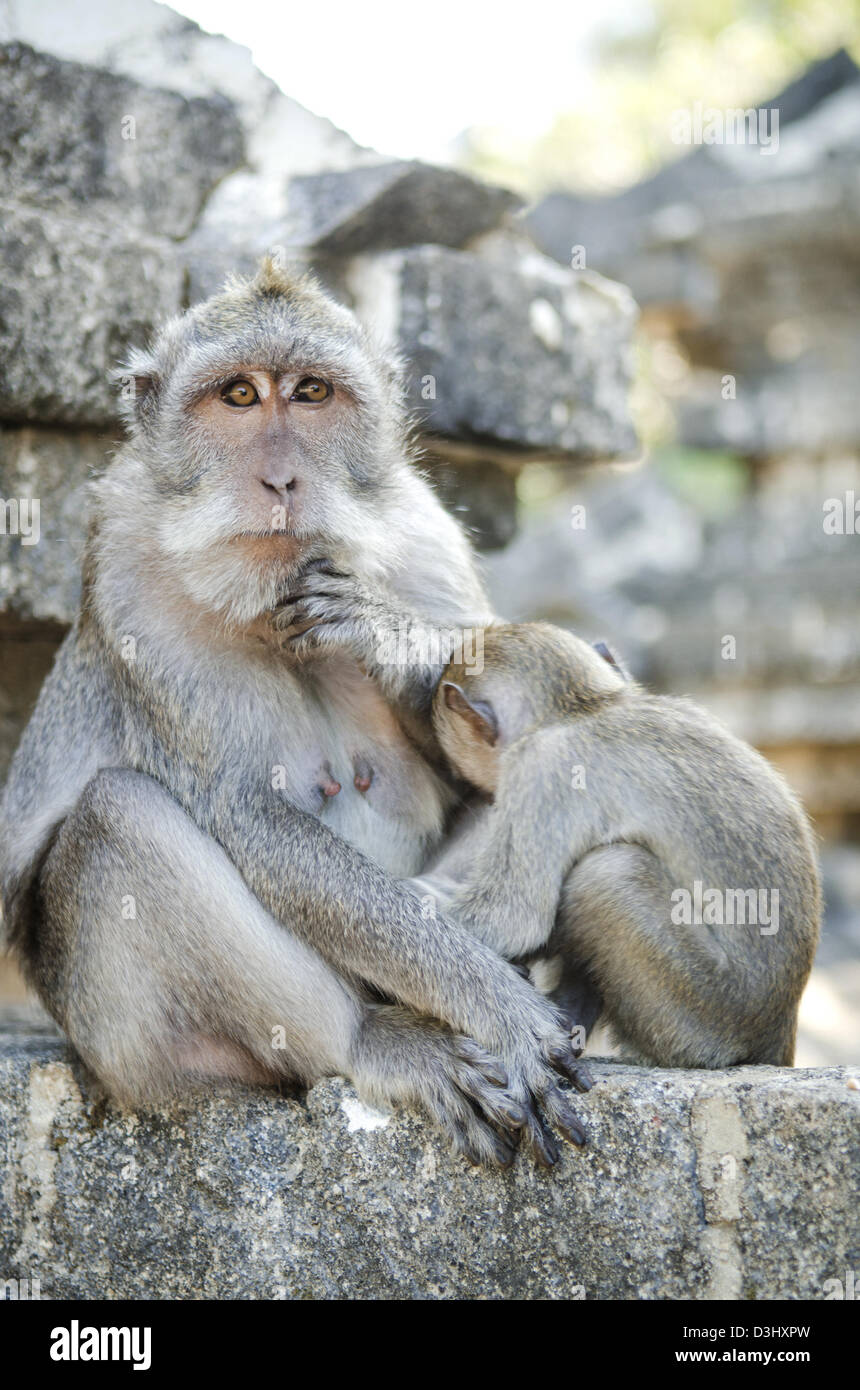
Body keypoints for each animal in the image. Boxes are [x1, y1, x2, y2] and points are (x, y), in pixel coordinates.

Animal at [414, 625, 822, 1067]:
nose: (480, 794)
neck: (584, 707)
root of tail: (777, 1029)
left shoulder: (541, 768)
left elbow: (511, 918)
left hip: (703, 1016)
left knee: (608, 872)